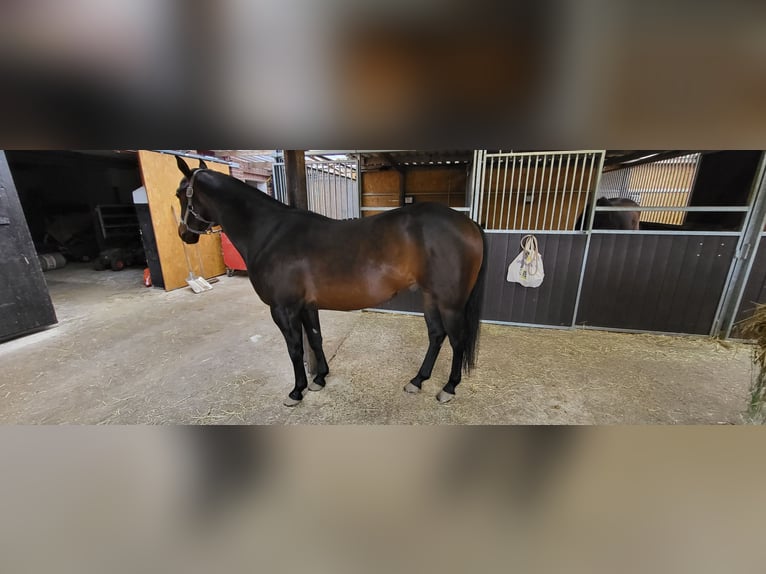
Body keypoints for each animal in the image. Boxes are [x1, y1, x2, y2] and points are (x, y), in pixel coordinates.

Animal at [174, 157, 487, 407]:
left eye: (179, 193)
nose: (183, 234)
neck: (269, 232)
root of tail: (468, 223)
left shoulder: (283, 308)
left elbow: (295, 348)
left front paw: (297, 391)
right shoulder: (306, 305)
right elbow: (315, 338)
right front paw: (320, 378)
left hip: (450, 303)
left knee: (457, 340)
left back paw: (448, 388)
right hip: (430, 297)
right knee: (437, 335)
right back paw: (417, 380)